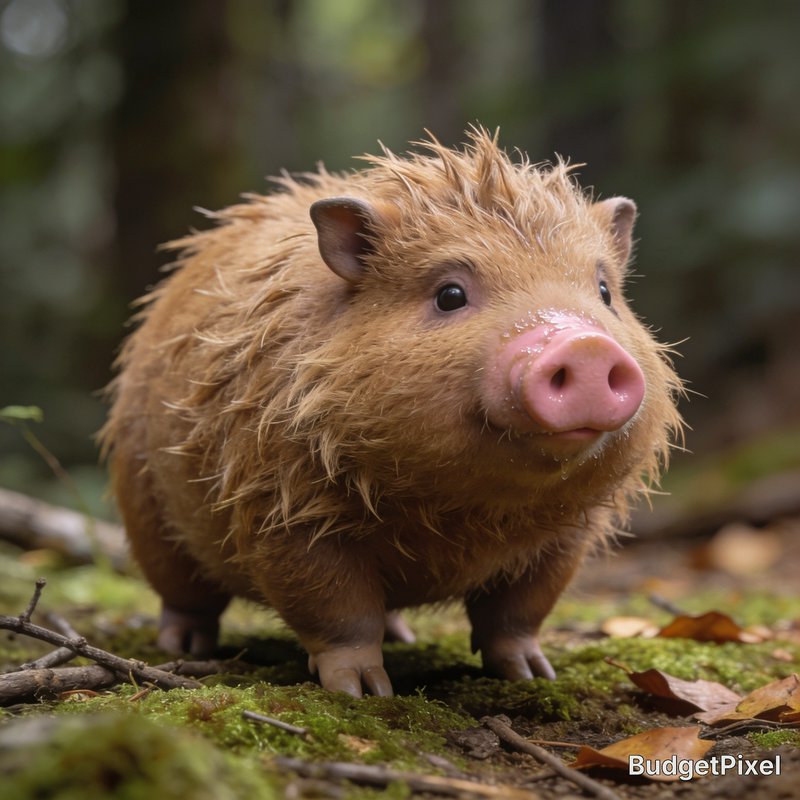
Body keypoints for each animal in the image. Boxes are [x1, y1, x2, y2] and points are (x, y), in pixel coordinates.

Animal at [101, 127, 682, 698]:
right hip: (143, 505)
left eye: (604, 292)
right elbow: (336, 610)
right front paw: (362, 692)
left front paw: (534, 675)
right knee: (183, 594)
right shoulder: (280, 507)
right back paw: (183, 647)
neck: (463, 518)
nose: (584, 345)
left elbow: (518, 612)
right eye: (450, 294)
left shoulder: (570, 535)